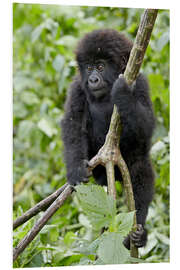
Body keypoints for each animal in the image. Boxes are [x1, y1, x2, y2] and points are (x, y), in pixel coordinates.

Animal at [61, 29, 155, 249]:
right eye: (89, 67)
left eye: (101, 66)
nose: (93, 80)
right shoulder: (77, 87)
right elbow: (73, 125)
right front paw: (75, 168)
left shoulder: (141, 83)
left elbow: (146, 128)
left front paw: (123, 93)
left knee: (141, 168)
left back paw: (138, 233)